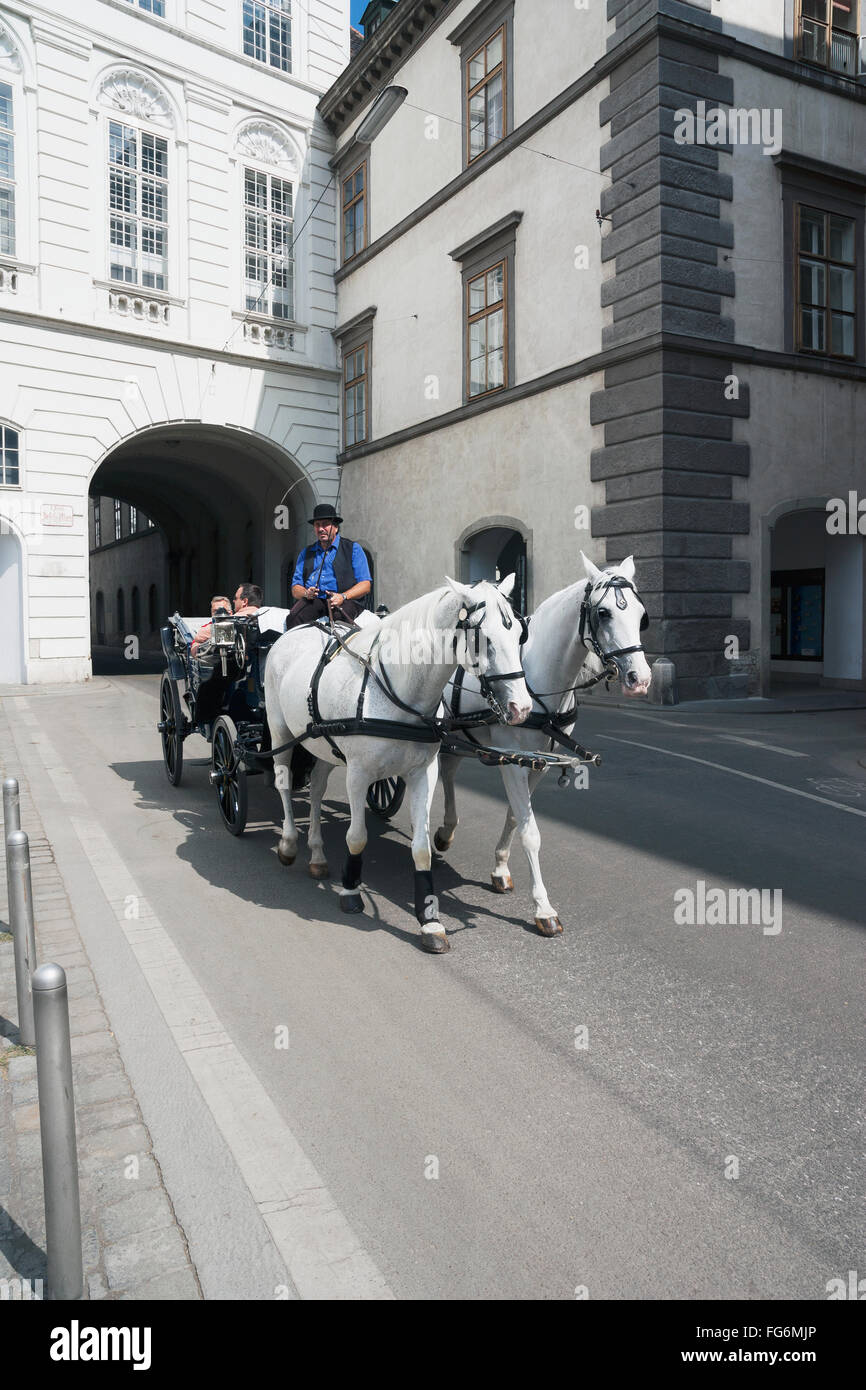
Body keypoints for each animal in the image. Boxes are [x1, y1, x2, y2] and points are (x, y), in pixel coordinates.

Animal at [265, 575, 536, 956]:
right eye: (483, 638)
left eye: (519, 636)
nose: (521, 709)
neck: (399, 692)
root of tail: (296, 632)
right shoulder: (358, 774)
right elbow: (357, 837)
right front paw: (351, 890)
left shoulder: (424, 773)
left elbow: (421, 847)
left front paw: (430, 920)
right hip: (280, 731)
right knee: (284, 784)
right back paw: (289, 843)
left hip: (322, 745)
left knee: (316, 790)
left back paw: (317, 855)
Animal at [433, 553, 650, 934]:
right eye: (604, 613)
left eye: (641, 614)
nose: (641, 679)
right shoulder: (513, 759)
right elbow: (530, 832)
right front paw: (543, 908)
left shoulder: (539, 762)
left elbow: (515, 816)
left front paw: (500, 868)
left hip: (457, 735)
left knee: (448, 771)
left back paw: (446, 830)